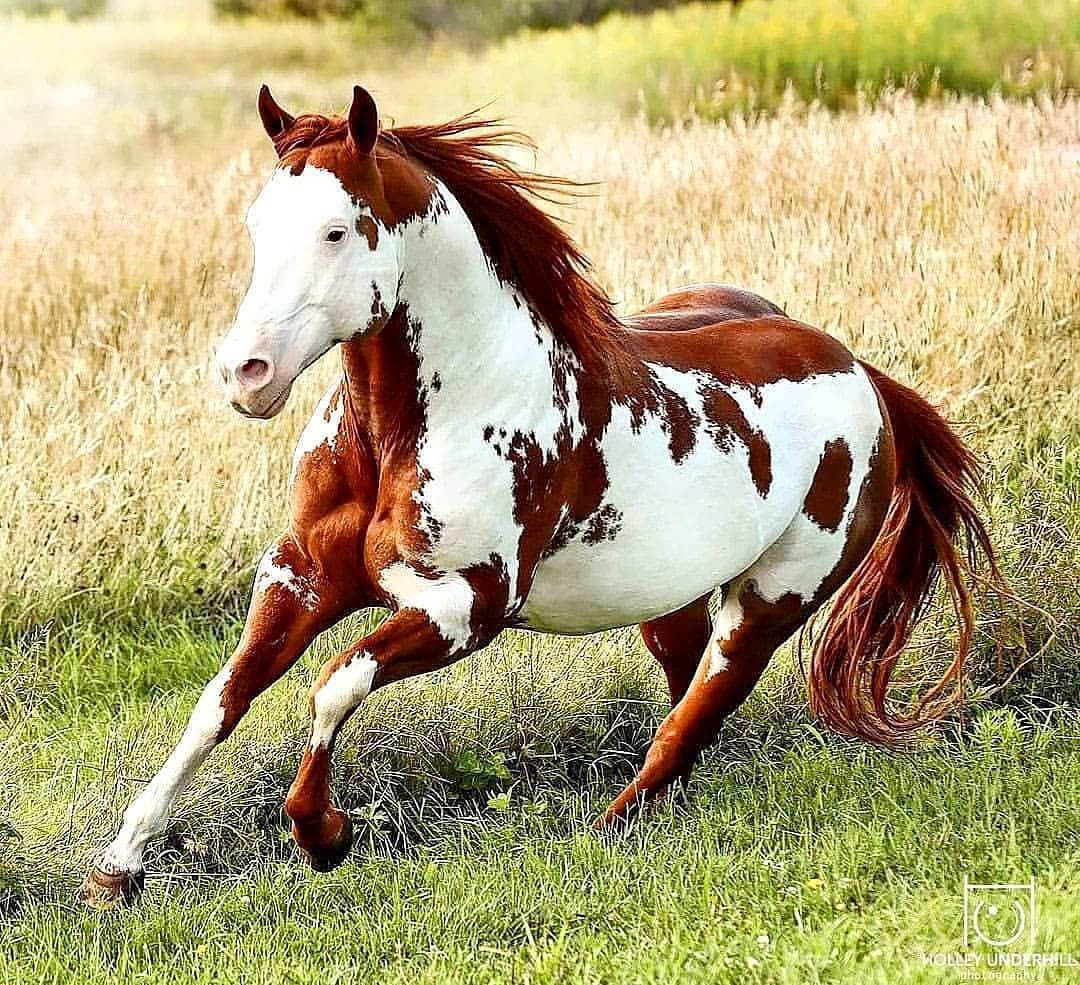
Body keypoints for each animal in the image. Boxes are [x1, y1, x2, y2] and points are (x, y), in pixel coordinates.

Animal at [82, 85, 1002, 906]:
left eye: (336, 229)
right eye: (256, 226)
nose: (245, 373)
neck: (412, 428)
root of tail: (863, 375)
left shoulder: (467, 606)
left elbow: (334, 683)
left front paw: (323, 835)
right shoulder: (302, 573)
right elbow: (222, 700)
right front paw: (117, 867)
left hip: (775, 597)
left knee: (697, 713)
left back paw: (611, 828)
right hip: (671, 603)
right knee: (686, 697)